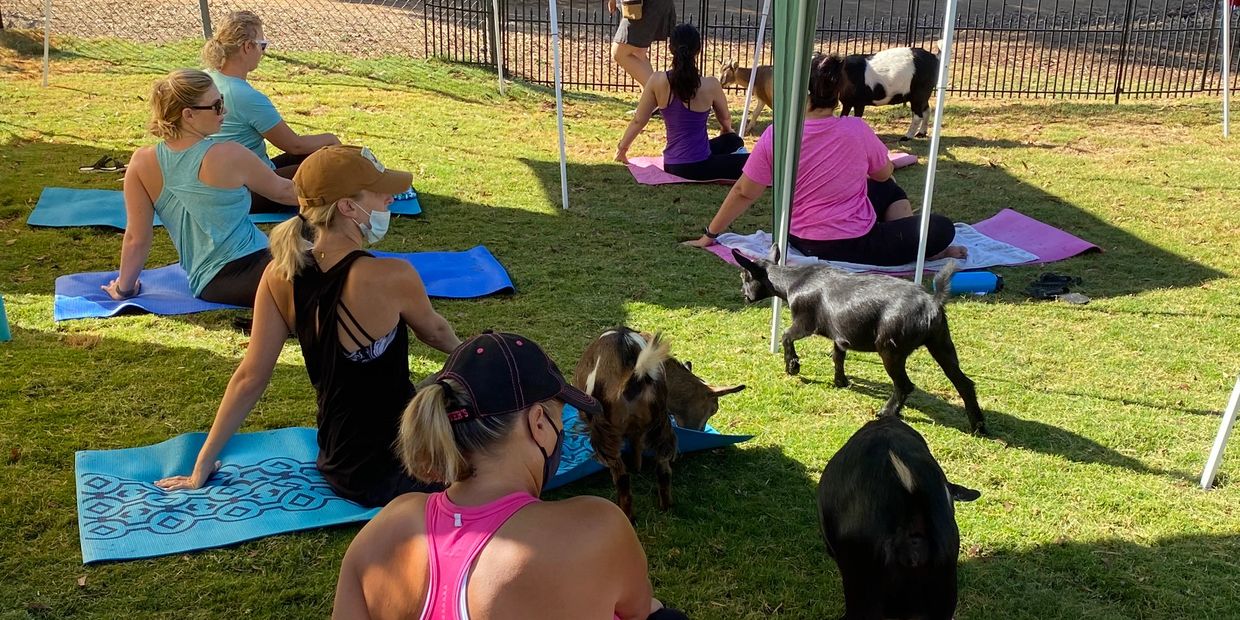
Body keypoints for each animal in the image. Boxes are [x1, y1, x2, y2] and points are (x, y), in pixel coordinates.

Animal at [572, 327, 744, 520]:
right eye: (714, 409)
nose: (700, 431)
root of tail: (635, 378)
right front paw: (637, 467)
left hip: (606, 435)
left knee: (622, 478)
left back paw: (628, 515)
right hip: (661, 428)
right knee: (664, 470)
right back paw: (665, 506)